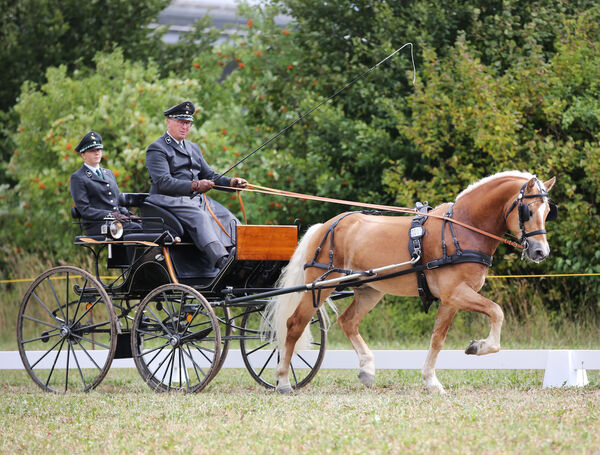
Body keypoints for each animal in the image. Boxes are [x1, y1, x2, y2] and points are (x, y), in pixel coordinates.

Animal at [268, 172, 556, 396]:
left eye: (547, 212)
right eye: (528, 210)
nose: (541, 252)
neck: (463, 229)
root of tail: (325, 226)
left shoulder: (452, 299)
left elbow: (437, 339)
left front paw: (432, 380)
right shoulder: (456, 293)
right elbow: (496, 312)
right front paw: (477, 348)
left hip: (369, 290)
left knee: (348, 322)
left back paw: (367, 369)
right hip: (320, 285)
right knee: (294, 325)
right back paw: (283, 381)